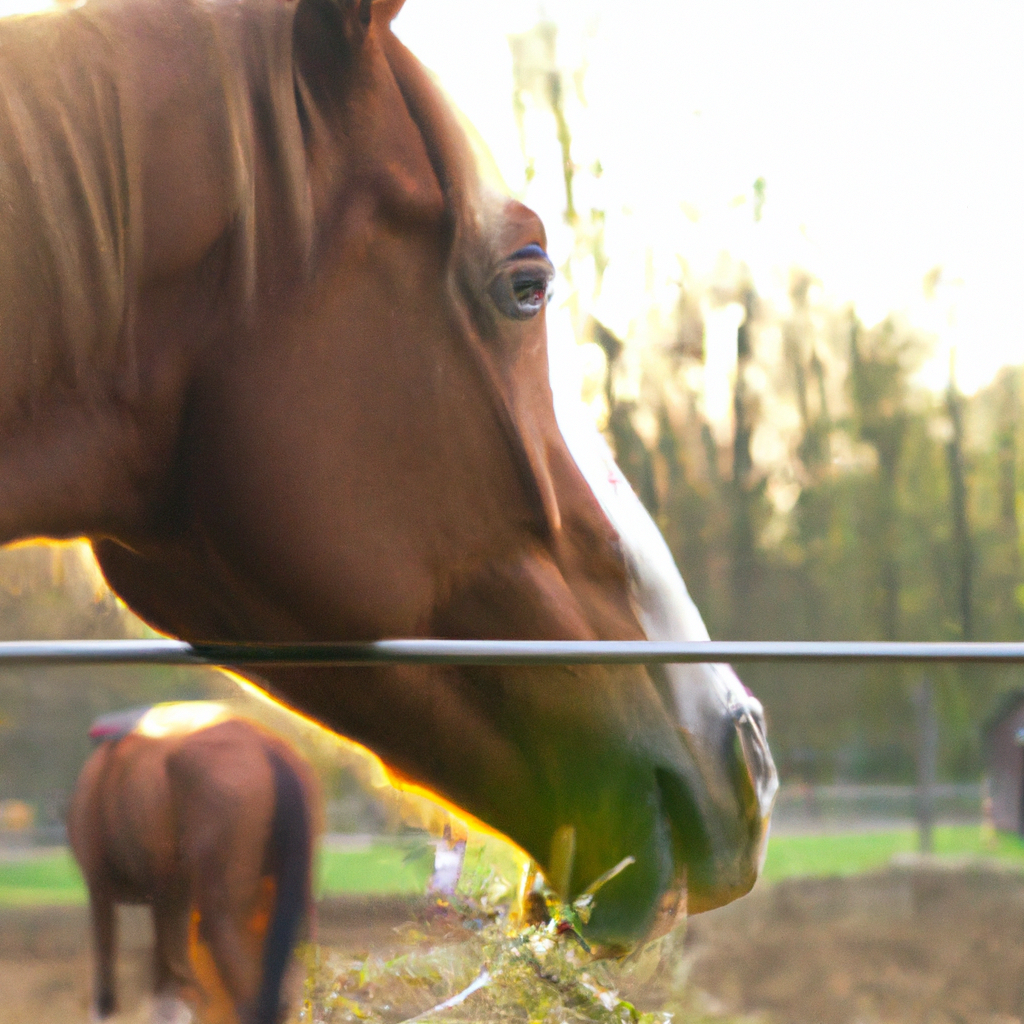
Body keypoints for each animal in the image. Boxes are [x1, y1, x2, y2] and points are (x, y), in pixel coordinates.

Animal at [69, 704, 315, 1024]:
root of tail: (266, 749)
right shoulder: (169, 899)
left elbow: (115, 979)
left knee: (250, 1000)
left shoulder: (105, 890)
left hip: (221, 910)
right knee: (280, 996)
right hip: (288, 908)